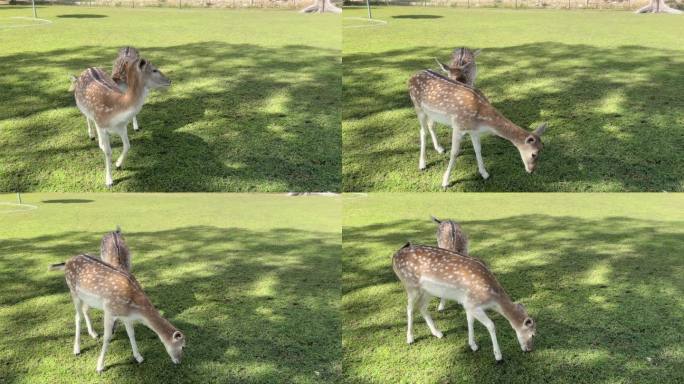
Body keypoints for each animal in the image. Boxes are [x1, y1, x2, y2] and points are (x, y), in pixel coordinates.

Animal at [48, 254, 184, 374]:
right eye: (183, 346)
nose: (179, 362)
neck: (135, 309)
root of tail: (67, 261)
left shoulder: (126, 317)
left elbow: (131, 334)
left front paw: (139, 357)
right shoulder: (110, 311)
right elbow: (107, 337)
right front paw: (100, 367)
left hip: (88, 299)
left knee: (85, 310)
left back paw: (93, 334)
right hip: (73, 292)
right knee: (78, 316)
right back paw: (77, 349)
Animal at [70, 56, 171, 188]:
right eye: (154, 70)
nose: (170, 80)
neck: (117, 109)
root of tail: (87, 69)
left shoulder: (122, 127)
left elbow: (127, 145)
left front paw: (118, 164)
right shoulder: (101, 124)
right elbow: (108, 151)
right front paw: (109, 181)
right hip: (81, 106)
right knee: (88, 118)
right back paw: (92, 135)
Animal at [392, 243, 536, 364]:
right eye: (533, 334)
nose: (529, 349)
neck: (492, 299)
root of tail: (394, 256)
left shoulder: (468, 304)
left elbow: (470, 322)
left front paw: (473, 345)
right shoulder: (474, 304)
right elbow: (491, 325)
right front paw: (498, 356)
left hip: (428, 291)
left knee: (422, 307)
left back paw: (437, 333)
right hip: (410, 285)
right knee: (410, 308)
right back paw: (410, 338)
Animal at [408, 70, 548, 189]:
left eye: (542, 148)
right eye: (534, 153)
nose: (531, 170)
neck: (482, 120)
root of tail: (411, 77)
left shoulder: (474, 131)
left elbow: (478, 149)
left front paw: (484, 174)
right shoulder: (458, 126)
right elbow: (455, 153)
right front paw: (445, 182)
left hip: (432, 113)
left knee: (431, 125)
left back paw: (439, 148)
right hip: (418, 106)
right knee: (423, 131)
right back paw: (422, 164)